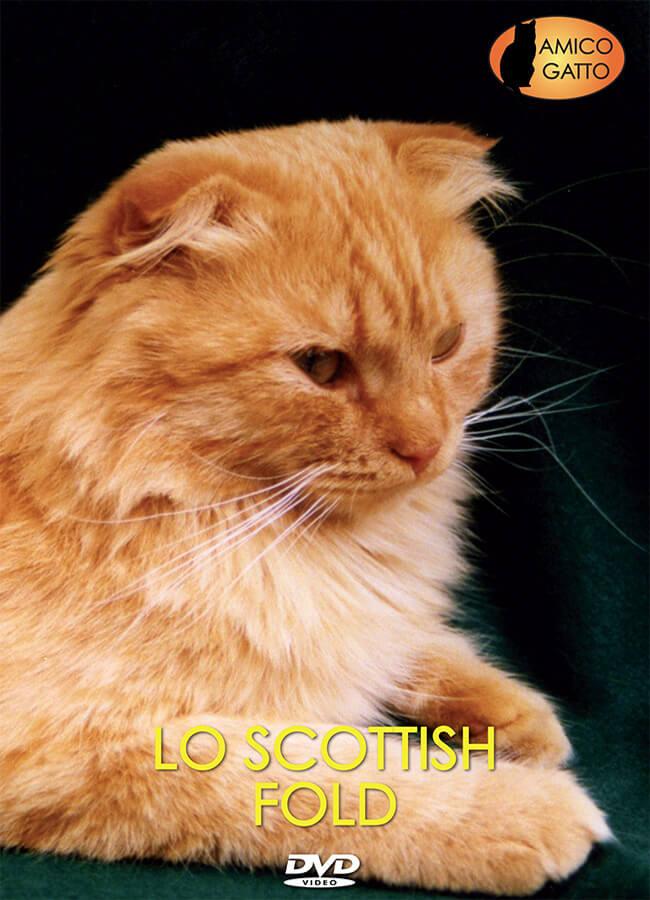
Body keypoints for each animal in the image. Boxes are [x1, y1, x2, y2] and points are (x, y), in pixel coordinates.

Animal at [0, 119, 609, 894]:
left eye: (446, 346)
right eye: (320, 367)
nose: (426, 448)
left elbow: (413, 642)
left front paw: (518, 717)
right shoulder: (84, 745)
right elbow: (353, 781)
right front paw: (521, 809)